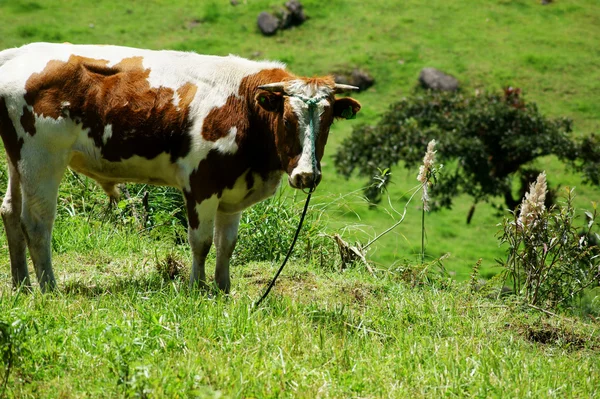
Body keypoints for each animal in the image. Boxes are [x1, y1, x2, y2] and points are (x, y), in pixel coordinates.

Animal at [0, 43, 360, 294]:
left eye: (327, 123)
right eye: (287, 120)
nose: (307, 175)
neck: (244, 104)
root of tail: (19, 53)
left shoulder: (233, 189)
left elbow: (227, 244)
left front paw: (222, 291)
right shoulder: (202, 182)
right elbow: (201, 241)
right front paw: (196, 290)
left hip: (19, 160)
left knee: (10, 212)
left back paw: (22, 286)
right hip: (42, 158)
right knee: (36, 222)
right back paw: (49, 288)